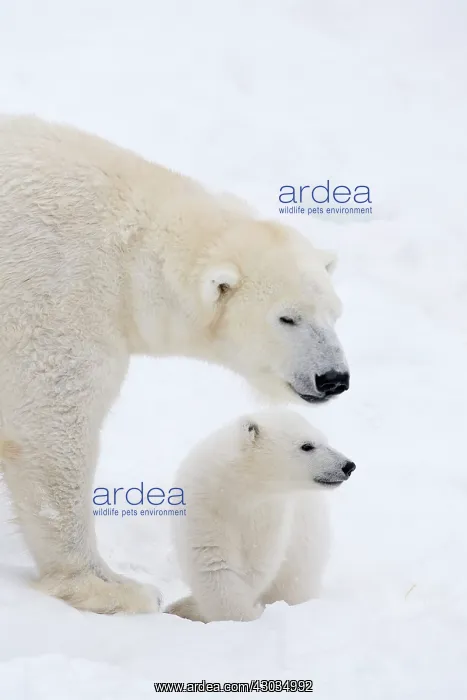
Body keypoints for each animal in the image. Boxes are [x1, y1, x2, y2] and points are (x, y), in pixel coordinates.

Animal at [165, 409, 355, 622]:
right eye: (307, 445)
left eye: (325, 440)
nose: (348, 466)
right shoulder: (204, 506)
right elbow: (213, 562)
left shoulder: (271, 513)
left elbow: (255, 566)